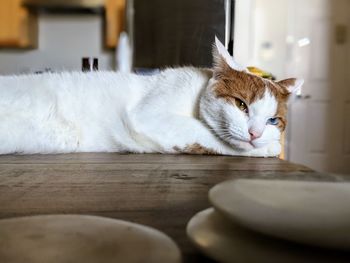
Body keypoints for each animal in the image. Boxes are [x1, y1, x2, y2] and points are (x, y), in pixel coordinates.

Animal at [0, 37, 302, 157]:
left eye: (273, 121)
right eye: (241, 104)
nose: (255, 134)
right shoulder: (150, 116)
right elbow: (209, 136)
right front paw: (268, 149)